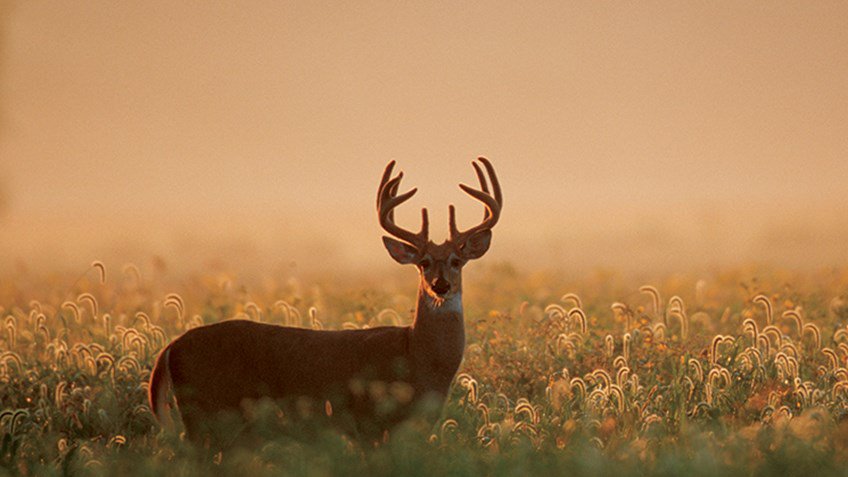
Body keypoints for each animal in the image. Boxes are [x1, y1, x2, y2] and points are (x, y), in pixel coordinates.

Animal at [148, 157, 503, 448]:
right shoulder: (367, 422)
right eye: (424, 262)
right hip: (205, 413)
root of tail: (171, 347)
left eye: (457, 261)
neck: (418, 357)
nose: (440, 285)